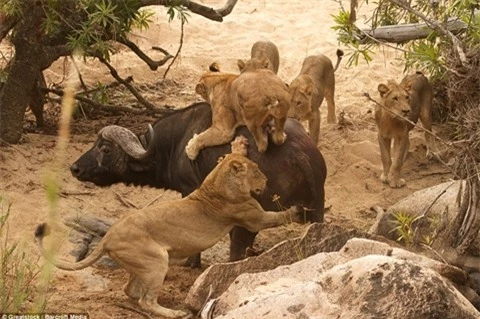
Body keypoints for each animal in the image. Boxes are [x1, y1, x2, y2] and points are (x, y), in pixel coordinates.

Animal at [35, 136, 306, 318]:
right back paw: (174, 312)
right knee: (145, 301)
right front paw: (299, 211)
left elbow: (232, 153)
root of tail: (107, 237)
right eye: (258, 171)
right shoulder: (253, 217)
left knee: (130, 290)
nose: (267, 180)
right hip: (156, 259)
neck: (217, 182)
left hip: (142, 264)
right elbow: (278, 217)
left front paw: (239, 143)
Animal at [71, 102, 326, 264]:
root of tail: (299, 153)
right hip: (317, 213)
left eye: (105, 149)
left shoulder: (188, 191)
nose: (75, 168)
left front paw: (190, 262)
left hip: (251, 220)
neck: (172, 145)